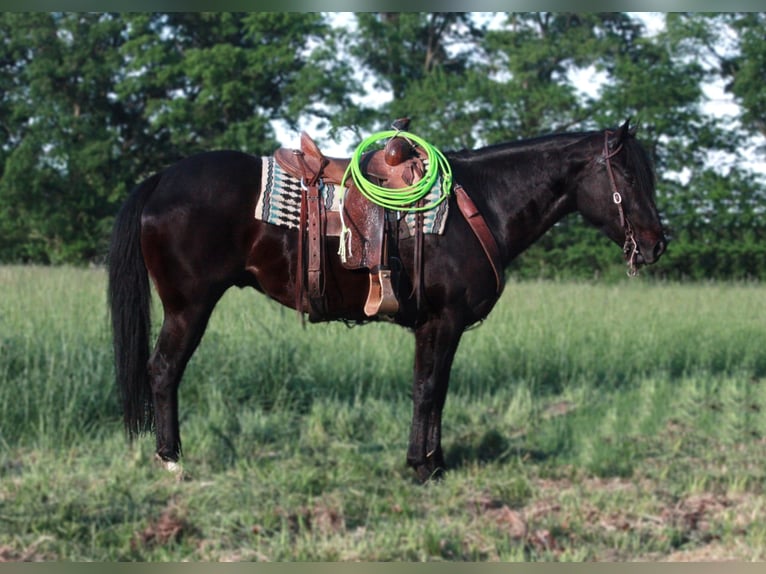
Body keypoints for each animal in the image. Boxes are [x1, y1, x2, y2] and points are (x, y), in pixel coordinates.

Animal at [106, 119, 664, 484]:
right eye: (628, 175)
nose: (658, 243)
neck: (480, 205)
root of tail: (161, 180)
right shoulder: (440, 321)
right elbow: (426, 389)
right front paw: (421, 467)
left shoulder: (445, 326)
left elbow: (437, 390)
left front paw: (435, 462)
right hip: (188, 306)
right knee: (163, 371)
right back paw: (170, 458)